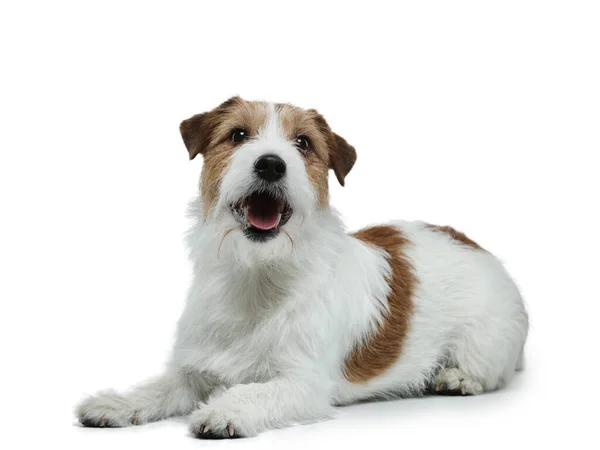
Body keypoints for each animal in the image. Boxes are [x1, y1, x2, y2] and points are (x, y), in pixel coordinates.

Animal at [76, 96, 528, 438]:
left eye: (304, 143)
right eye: (238, 135)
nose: (271, 163)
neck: (258, 273)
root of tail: (471, 242)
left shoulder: (302, 382)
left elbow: (257, 392)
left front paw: (225, 410)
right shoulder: (194, 368)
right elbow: (158, 387)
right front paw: (116, 402)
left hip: (485, 342)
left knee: (490, 369)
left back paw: (458, 378)